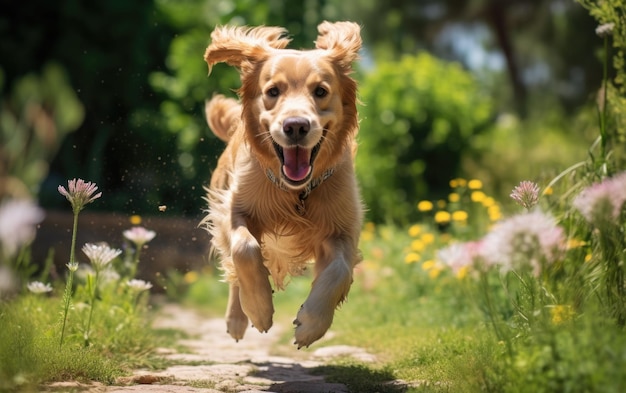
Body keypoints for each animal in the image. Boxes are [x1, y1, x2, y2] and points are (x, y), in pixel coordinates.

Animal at [202, 21, 364, 348]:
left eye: (321, 91)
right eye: (272, 91)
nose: (296, 126)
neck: (295, 192)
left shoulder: (343, 228)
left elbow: (339, 270)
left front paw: (311, 324)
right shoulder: (233, 209)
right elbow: (244, 249)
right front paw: (259, 308)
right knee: (233, 270)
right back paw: (237, 318)